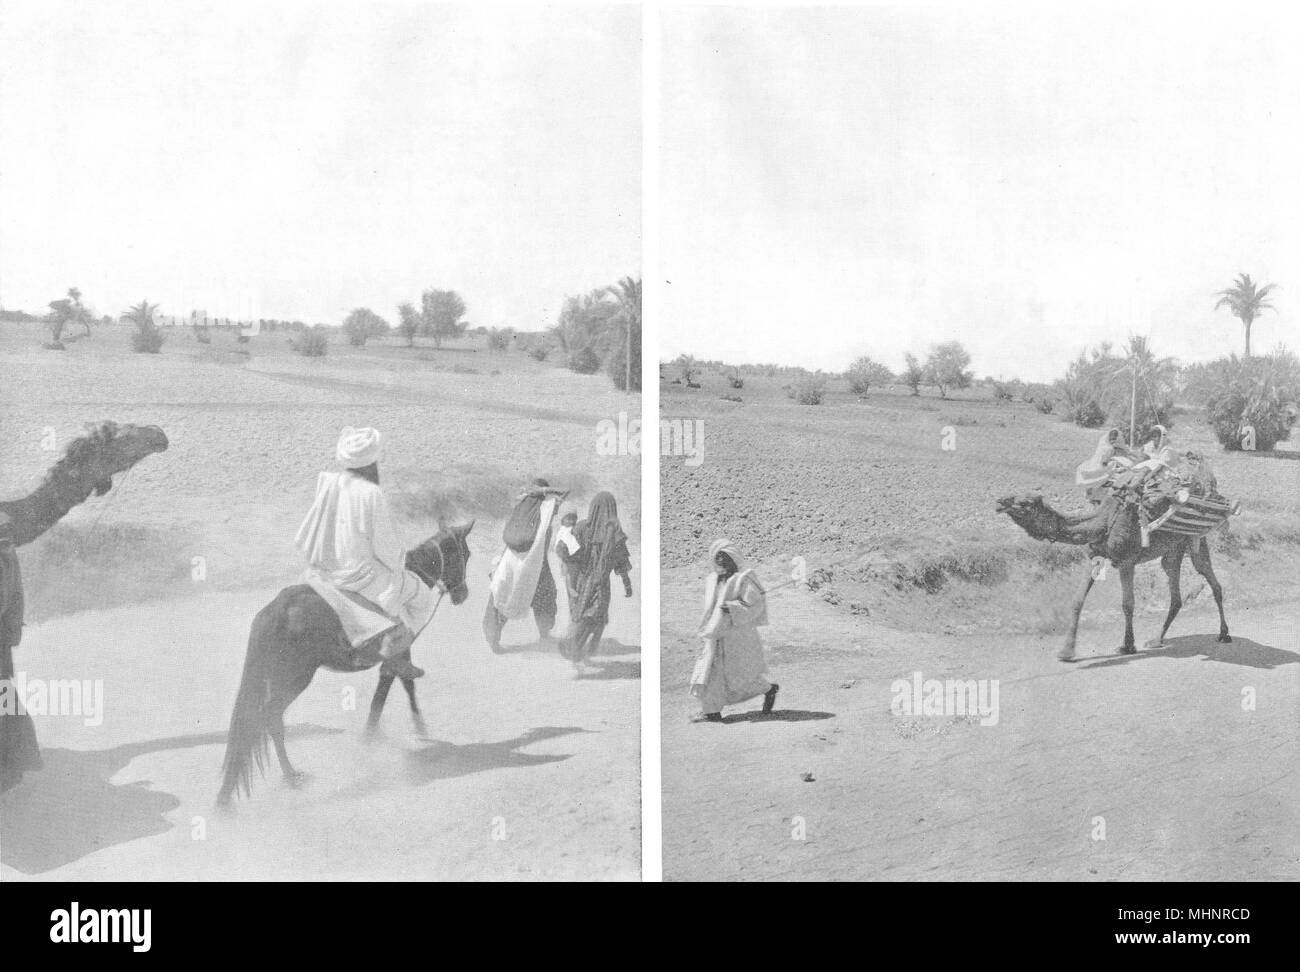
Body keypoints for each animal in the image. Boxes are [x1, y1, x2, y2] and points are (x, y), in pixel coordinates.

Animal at [217, 524, 473, 805]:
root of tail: (276, 611)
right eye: (466, 554)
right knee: (270, 715)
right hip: (296, 678)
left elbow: (388, 694)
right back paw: (291, 776)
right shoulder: (399, 654)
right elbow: (398, 689)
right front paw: (409, 730)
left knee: (266, 719)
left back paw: (282, 778)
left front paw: (382, 737)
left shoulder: (394, 659)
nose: (462, 594)